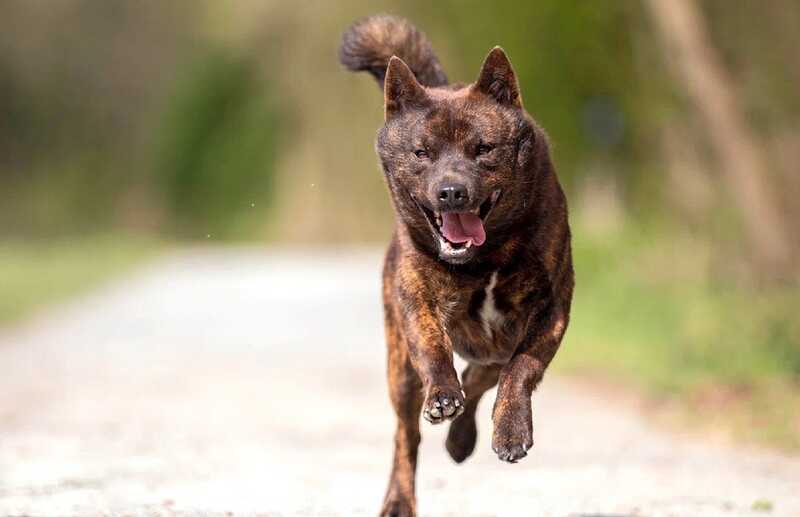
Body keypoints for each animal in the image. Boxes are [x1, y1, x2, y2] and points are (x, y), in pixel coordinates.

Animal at [340, 16, 572, 516]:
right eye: (421, 152)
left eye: (483, 148)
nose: (451, 192)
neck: (483, 259)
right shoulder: (415, 300)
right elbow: (433, 349)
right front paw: (445, 397)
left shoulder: (551, 309)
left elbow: (521, 369)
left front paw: (511, 432)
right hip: (399, 373)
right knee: (406, 435)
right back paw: (399, 497)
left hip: (494, 344)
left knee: (485, 373)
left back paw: (462, 440)